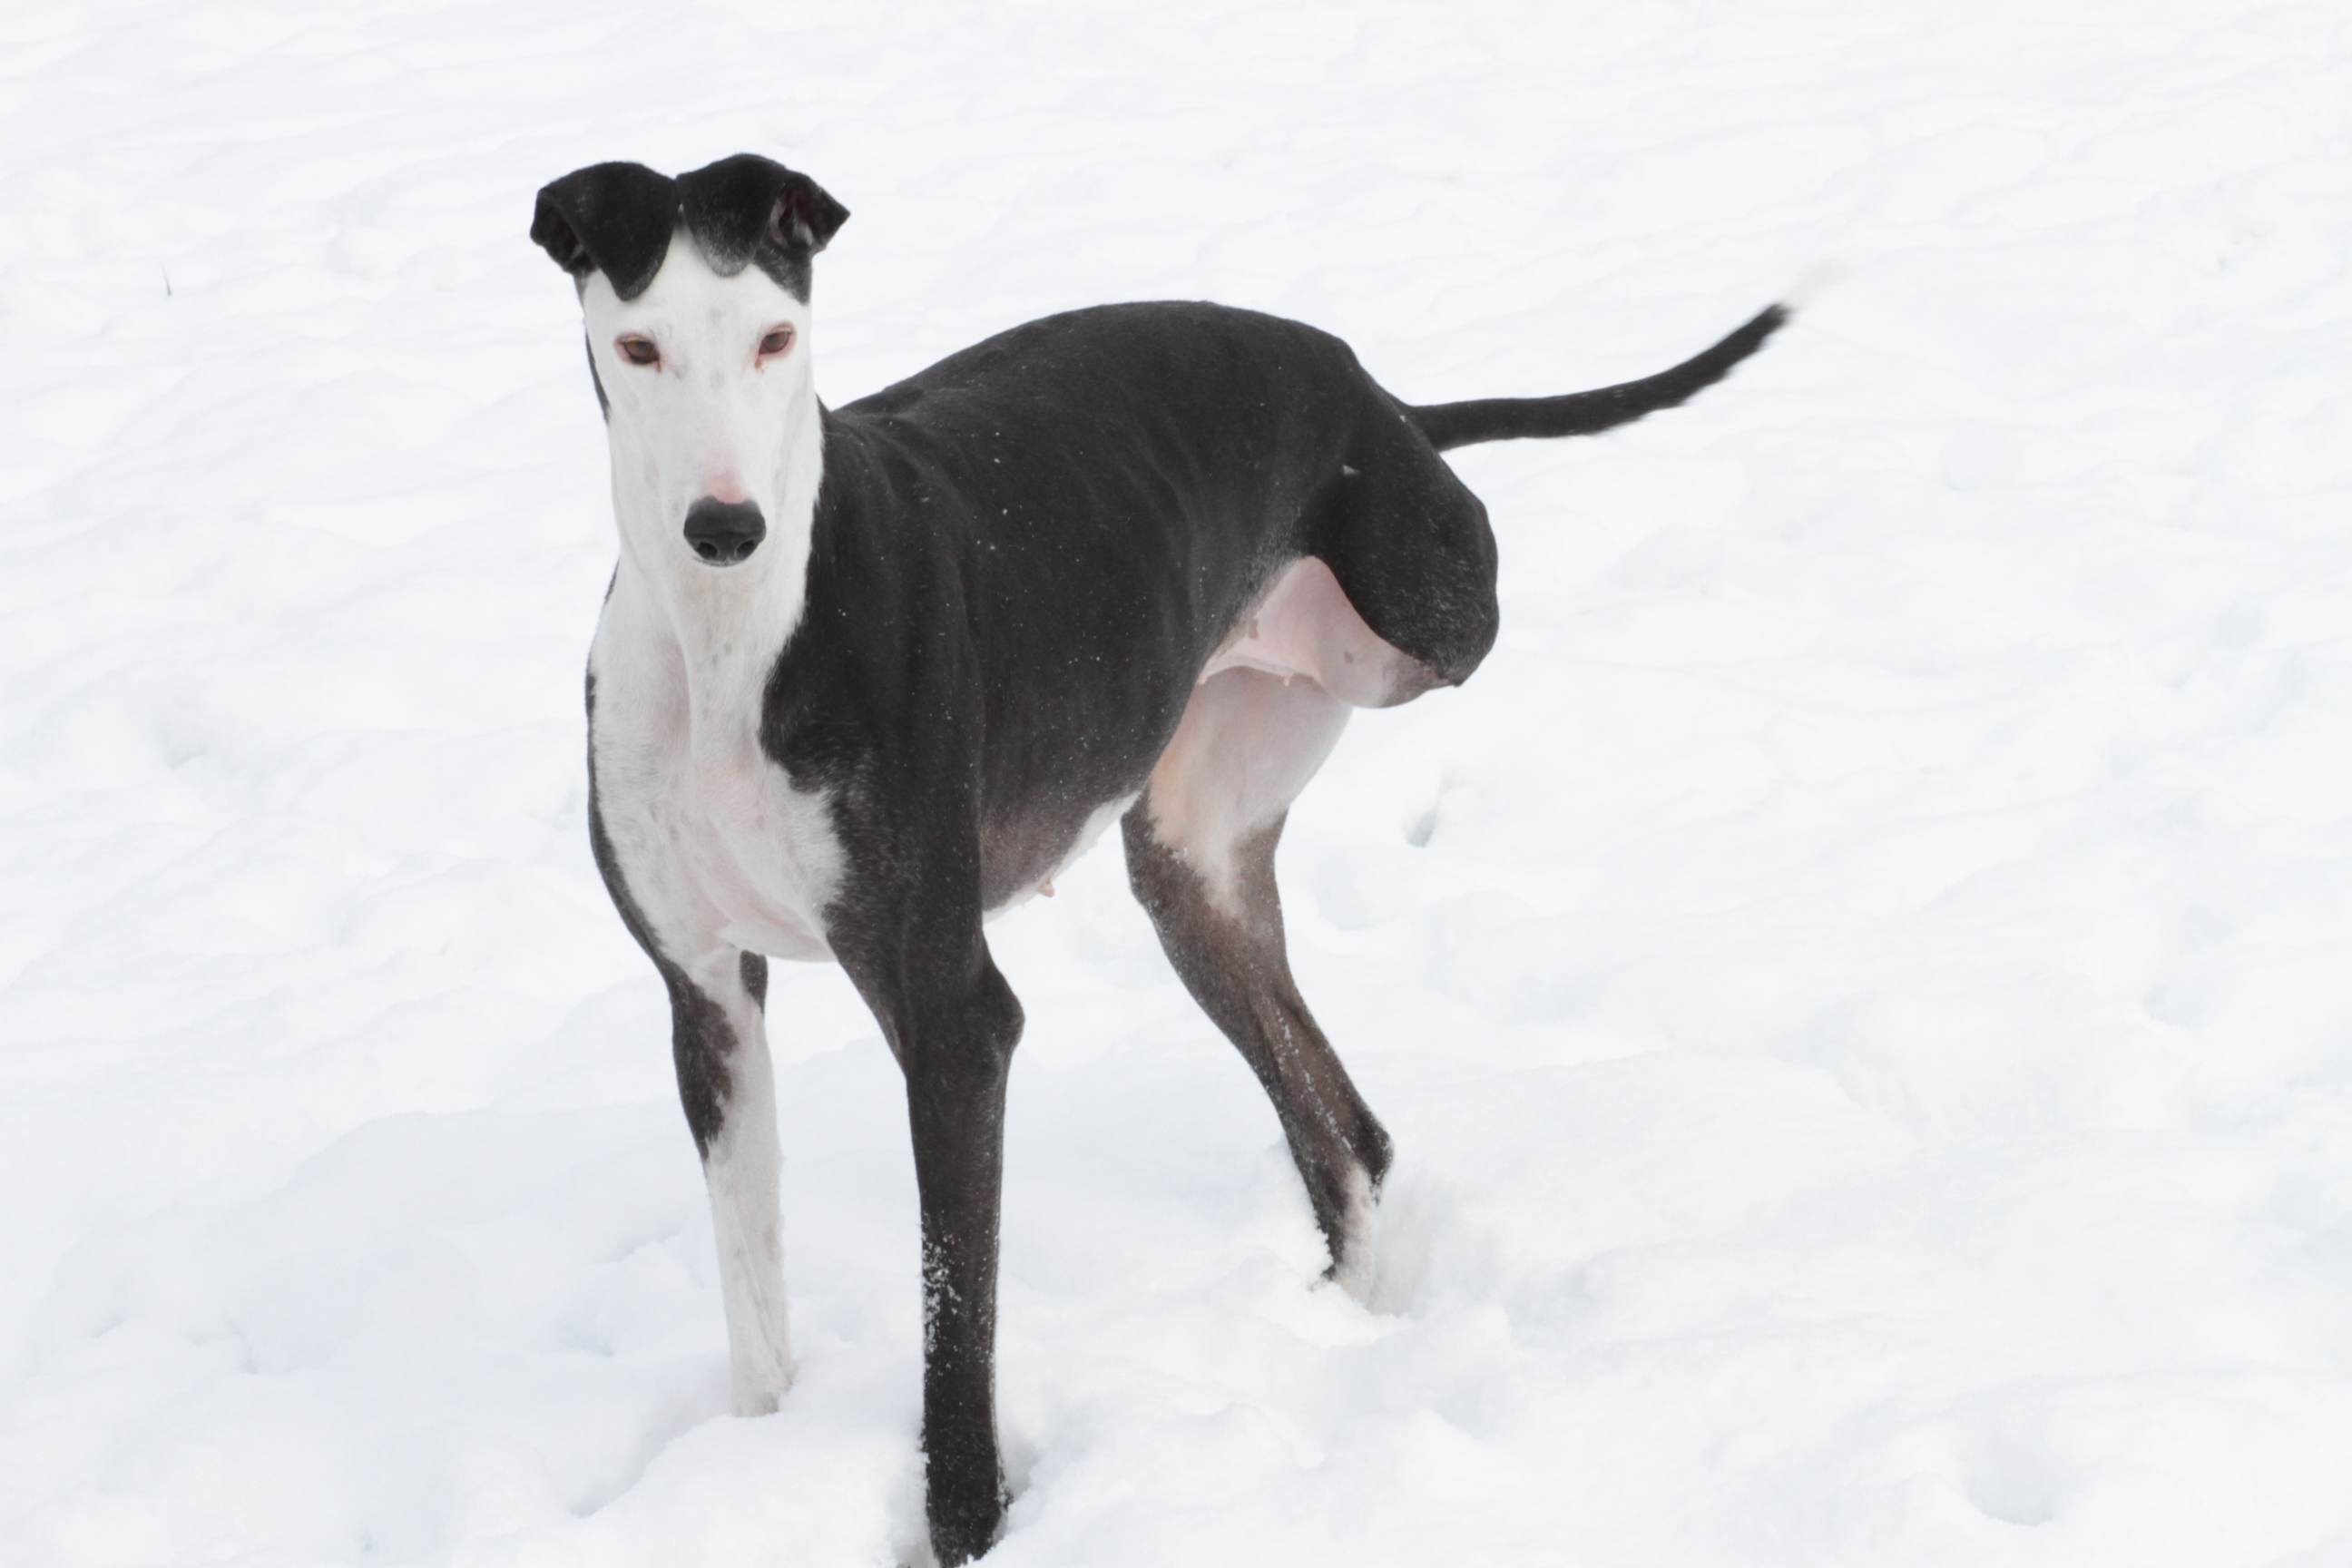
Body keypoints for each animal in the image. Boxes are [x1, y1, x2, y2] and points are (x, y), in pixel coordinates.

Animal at [532, 153, 1799, 1563]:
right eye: (638, 347)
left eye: (773, 339)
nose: (723, 527)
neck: (731, 644)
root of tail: (1377, 395)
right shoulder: (708, 1001)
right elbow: (755, 1309)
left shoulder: (954, 1015)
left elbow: (955, 1320)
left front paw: (968, 1523)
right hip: (1197, 874)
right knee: (1349, 1138)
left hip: (1426, 609)